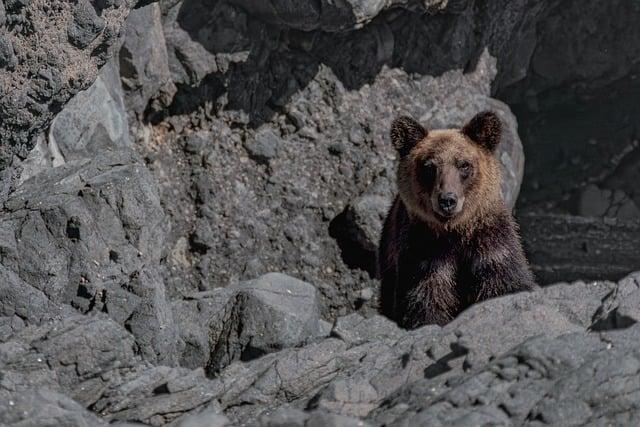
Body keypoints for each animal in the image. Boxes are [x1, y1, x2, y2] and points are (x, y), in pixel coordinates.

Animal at [378, 110, 536, 328]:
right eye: (429, 166)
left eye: (464, 165)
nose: (447, 200)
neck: (455, 231)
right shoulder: (423, 255)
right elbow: (424, 301)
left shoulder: (491, 243)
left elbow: (506, 282)